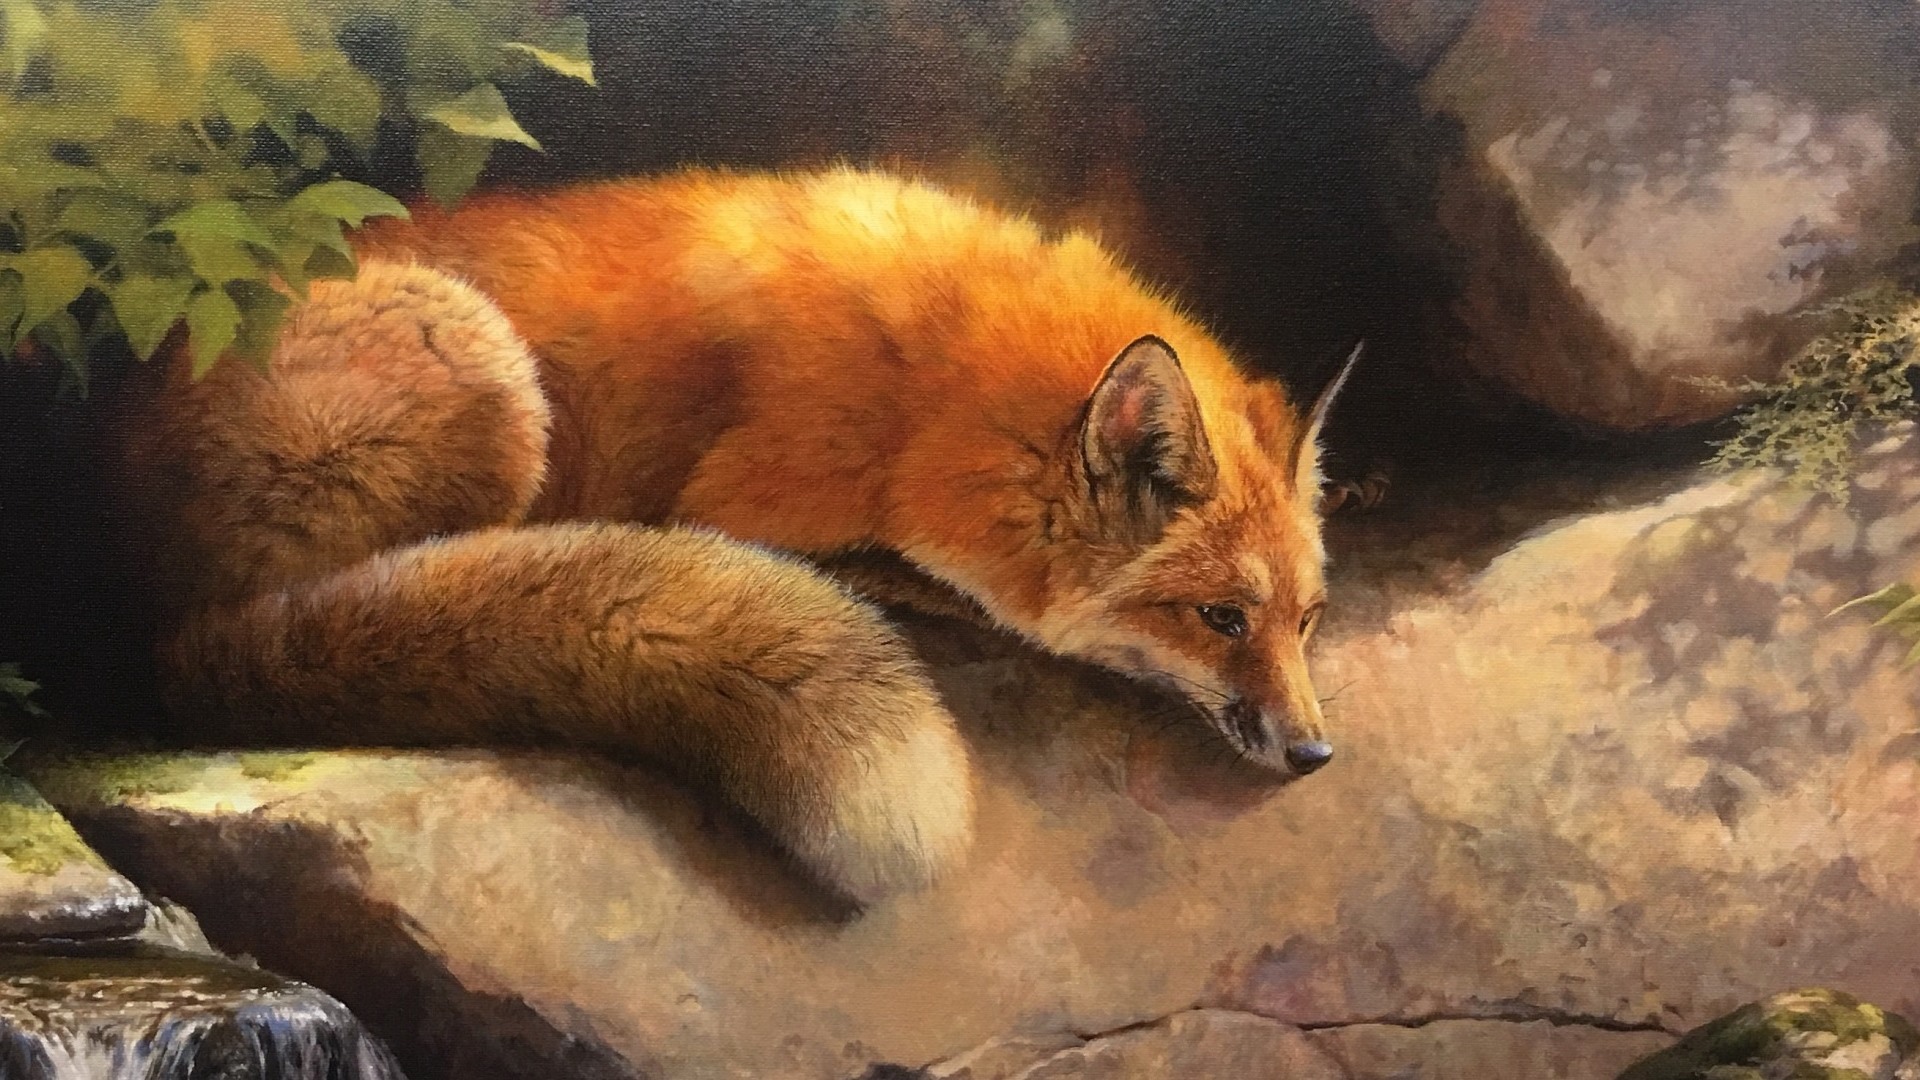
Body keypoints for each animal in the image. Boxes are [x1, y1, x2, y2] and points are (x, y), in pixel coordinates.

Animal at [116, 167, 1354, 904]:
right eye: (1220, 618)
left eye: (1306, 621)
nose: (1314, 756)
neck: (930, 389)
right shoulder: (731, 504)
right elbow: (902, 575)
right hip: (491, 376)